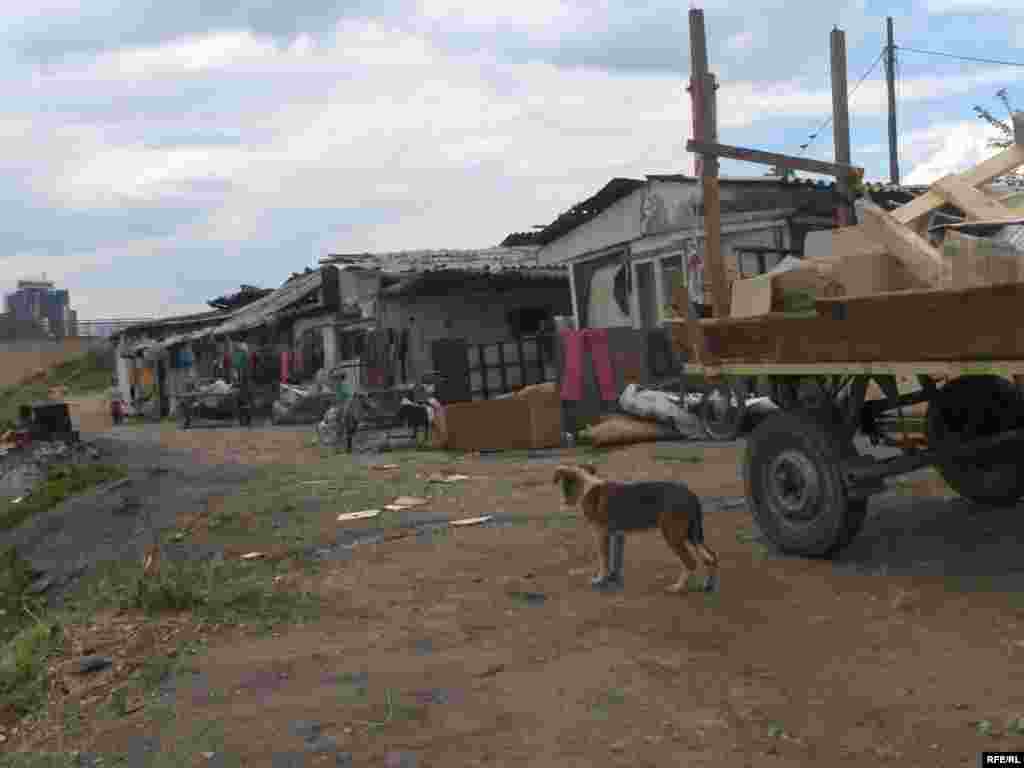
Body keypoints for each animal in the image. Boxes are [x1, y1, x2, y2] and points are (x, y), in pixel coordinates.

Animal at [552, 462, 720, 593]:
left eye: (564, 486)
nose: (565, 502)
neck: (587, 486)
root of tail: (691, 495)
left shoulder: (601, 534)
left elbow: (604, 559)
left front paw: (600, 579)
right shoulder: (617, 535)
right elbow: (615, 560)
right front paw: (613, 577)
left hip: (673, 535)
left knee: (691, 562)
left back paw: (678, 587)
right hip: (691, 534)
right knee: (710, 557)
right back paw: (708, 585)